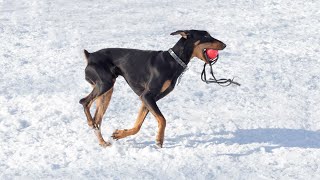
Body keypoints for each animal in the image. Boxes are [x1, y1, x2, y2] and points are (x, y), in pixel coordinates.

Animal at [79, 29, 226, 148]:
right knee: (84, 102)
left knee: (98, 120)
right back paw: (91, 123)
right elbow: (163, 119)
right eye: (206, 36)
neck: (173, 61)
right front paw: (159, 140)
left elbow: (138, 125)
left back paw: (103, 142)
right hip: (105, 84)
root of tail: (90, 55)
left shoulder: (146, 99)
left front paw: (119, 134)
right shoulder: (147, 96)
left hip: (107, 91)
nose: (224, 45)